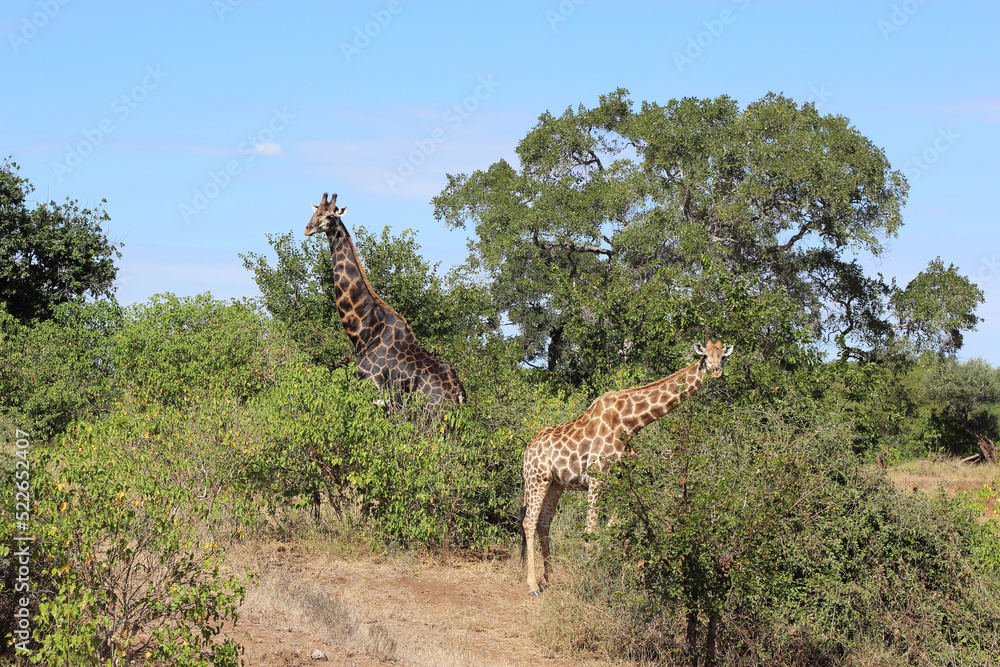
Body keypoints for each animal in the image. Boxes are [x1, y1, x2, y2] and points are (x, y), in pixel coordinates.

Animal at [304, 192, 466, 406]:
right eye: (315, 212)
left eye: (330, 216)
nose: (308, 228)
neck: (363, 332)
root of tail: (459, 394)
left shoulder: (375, 393)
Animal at [519, 340, 733, 595]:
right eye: (706, 357)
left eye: (723, 357)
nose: (717, 371)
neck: (629, 422)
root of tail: (526, 451)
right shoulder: (596, 478)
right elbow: (591, 530)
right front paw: (588, 579)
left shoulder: (620, 481)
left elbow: (615, 528)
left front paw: (615, 576)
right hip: (537, 478)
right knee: (529, 522)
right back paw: (532, 585)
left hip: (555, 484)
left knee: (544, 523)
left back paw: (548, 579)